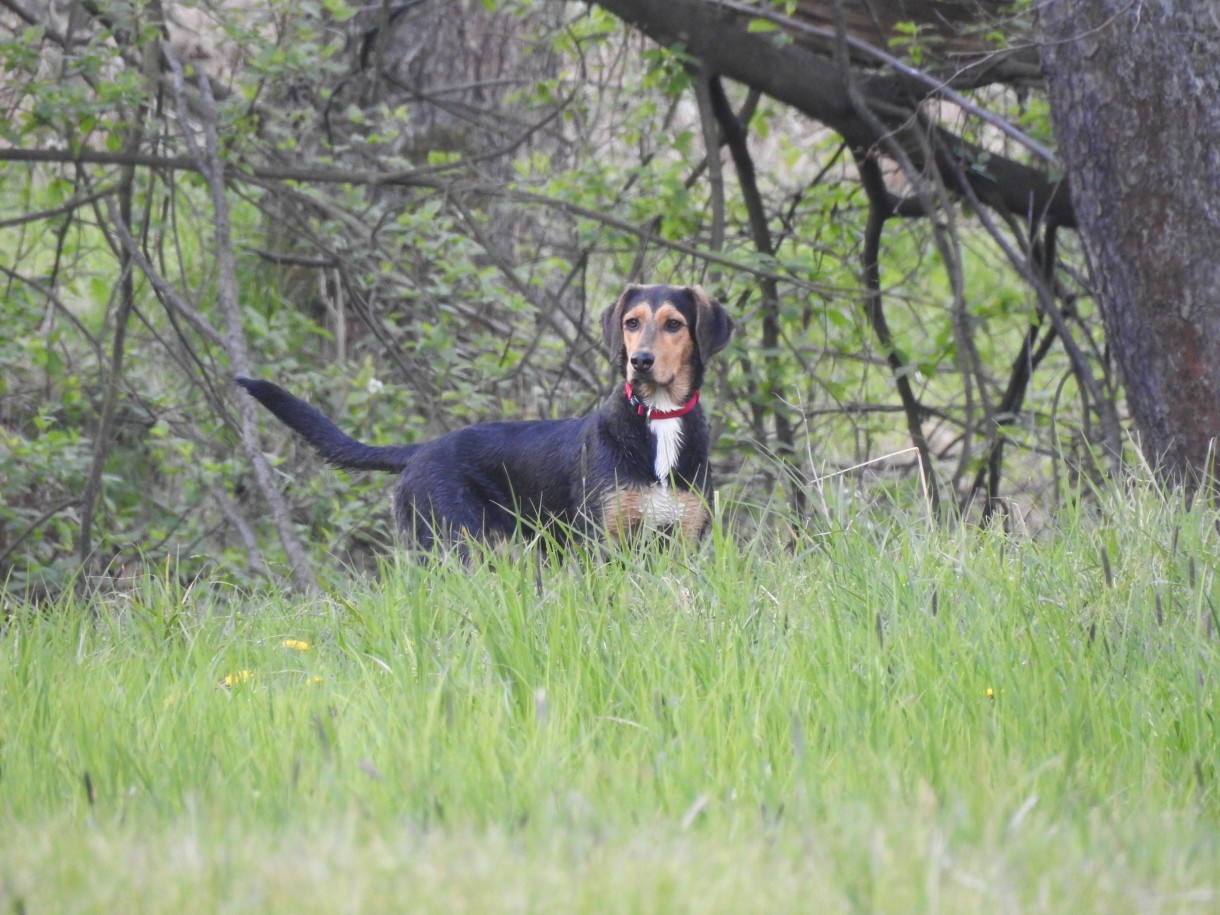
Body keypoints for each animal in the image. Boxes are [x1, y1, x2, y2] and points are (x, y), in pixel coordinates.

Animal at [236, 283, 732, 551]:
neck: (658, 418)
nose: (640, 362)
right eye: (631, 322)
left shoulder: (684, 537)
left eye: (674, 324)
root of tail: (422, 449)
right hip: (449, 542)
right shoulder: (601, 539)